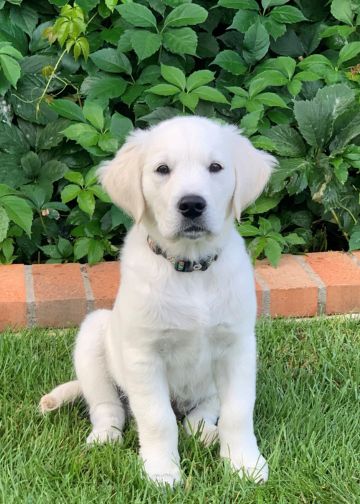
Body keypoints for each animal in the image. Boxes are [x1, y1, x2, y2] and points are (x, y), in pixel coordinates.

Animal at [40, 116, 276, 486]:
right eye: (162, 169)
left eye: (216, 167)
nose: (192, 204)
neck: (191, 269)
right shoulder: (144, 355)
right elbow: (156, 418)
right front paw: (162, 471)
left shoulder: (238, 347)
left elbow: (238, 411)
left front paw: (244, 463)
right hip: (94, 335)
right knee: (109, 407)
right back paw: (104, 436)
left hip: (211, 385)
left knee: (199, 414)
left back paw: (207, 433)